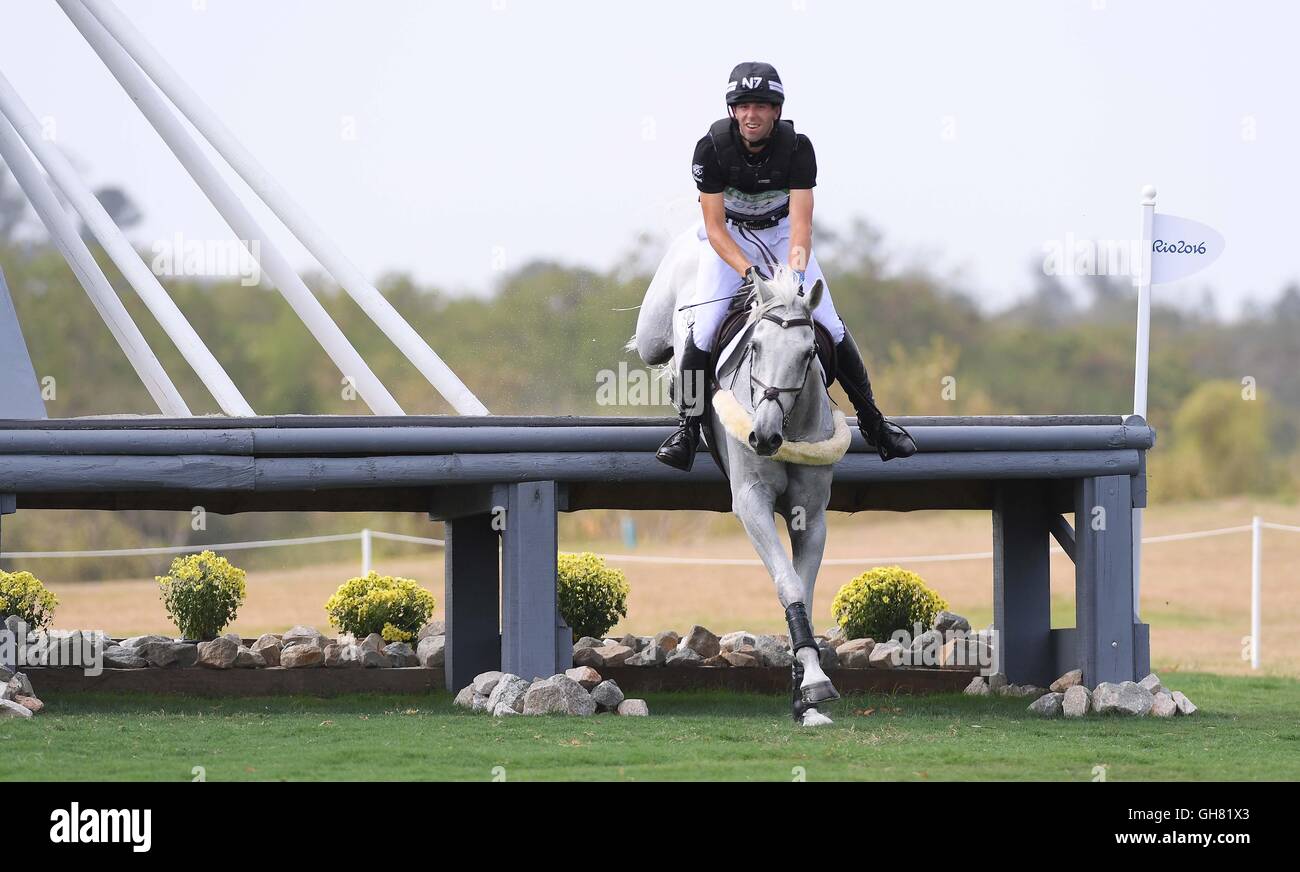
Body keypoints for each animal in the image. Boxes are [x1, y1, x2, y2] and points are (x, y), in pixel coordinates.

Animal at [629, 223, 852, 722]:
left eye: (809, 352)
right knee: (666, 347)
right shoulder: (751, 502)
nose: (763, 437)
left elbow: (803, 589)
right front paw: (813, 680)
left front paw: (805, 691)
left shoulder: (812, 515)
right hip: (655, 324)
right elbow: (787, 582)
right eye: (754, 347)